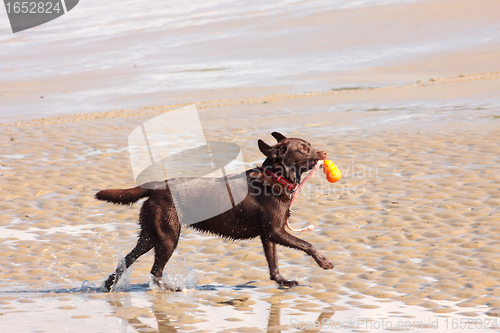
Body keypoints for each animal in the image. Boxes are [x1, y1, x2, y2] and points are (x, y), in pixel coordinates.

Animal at [95, 131, 334, 290]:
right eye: (303, 149)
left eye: (309, 144)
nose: (324, 152)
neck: (275, 176)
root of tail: (156, 186)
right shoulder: (276, 231)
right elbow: (307, 244)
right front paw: (324, 261)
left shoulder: (268, 236)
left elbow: (273, 265)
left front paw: (283, 281)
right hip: (168, 237)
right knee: (155, 271)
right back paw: (170, 289)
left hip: (149, 235)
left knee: (127, 261)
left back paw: (108, 284)